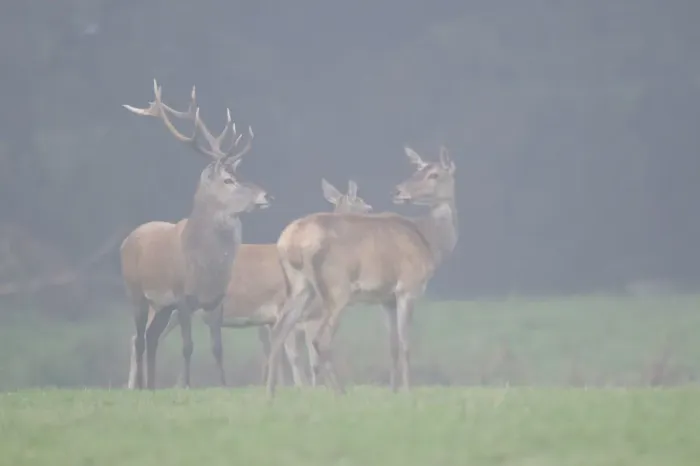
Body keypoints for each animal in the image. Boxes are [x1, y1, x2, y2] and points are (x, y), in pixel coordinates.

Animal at [121, 79, 272, 390]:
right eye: (228, 180)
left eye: (239, 175)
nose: (266, 195)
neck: (205, 266)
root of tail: (125, 241)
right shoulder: (181, 295)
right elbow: (188, 346)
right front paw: (188, 386)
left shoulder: (215, 300)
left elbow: (217, 347)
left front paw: (224, 386)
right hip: (136, 292)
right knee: (139, 339)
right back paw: (140, 387)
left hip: (161, 305)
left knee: (151, 337)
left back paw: (152, 386)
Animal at [264, 145, 457, 397]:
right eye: (419, 171)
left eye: (433, 174)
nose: (398, 191)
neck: (429, 242)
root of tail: (289, 240)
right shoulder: (408, 287)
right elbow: (406, 343)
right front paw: (408, 391)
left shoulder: (386, 299)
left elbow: (392, 346)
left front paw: (393, 391)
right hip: (336, 287)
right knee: (320, 340)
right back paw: (340, 392)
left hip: (300, 286)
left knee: (279, 331)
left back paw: (270, 394)